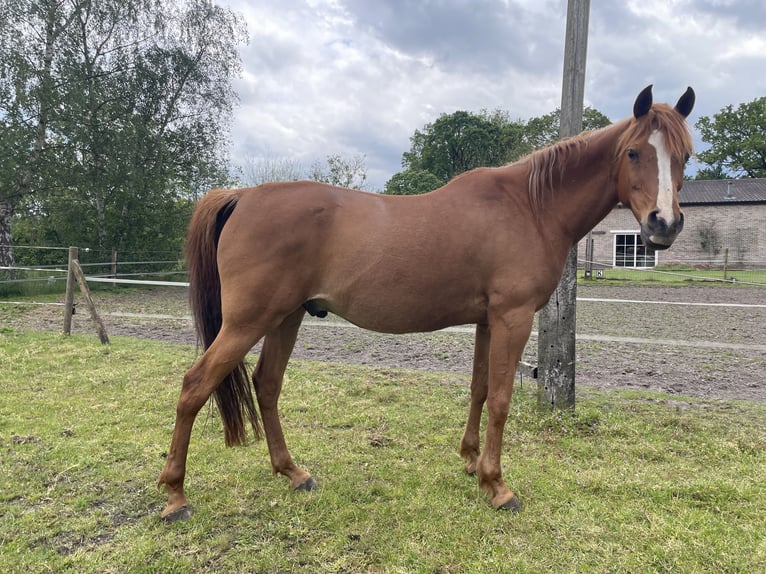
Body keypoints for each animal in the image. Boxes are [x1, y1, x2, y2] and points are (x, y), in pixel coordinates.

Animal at [158, 85, 695, 521]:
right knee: (194, 387)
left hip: (286, 317)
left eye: (685, 157)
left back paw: (294, 473)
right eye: (633, 152)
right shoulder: (514, 317)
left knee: (266, 387)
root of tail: (243, 196)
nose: (664, 225)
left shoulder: (488, 320)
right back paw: (175, 496)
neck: (529, 206)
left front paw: (472, 462)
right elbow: (502, 399)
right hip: (247, 321)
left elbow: (480, 389)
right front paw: (499, 487)